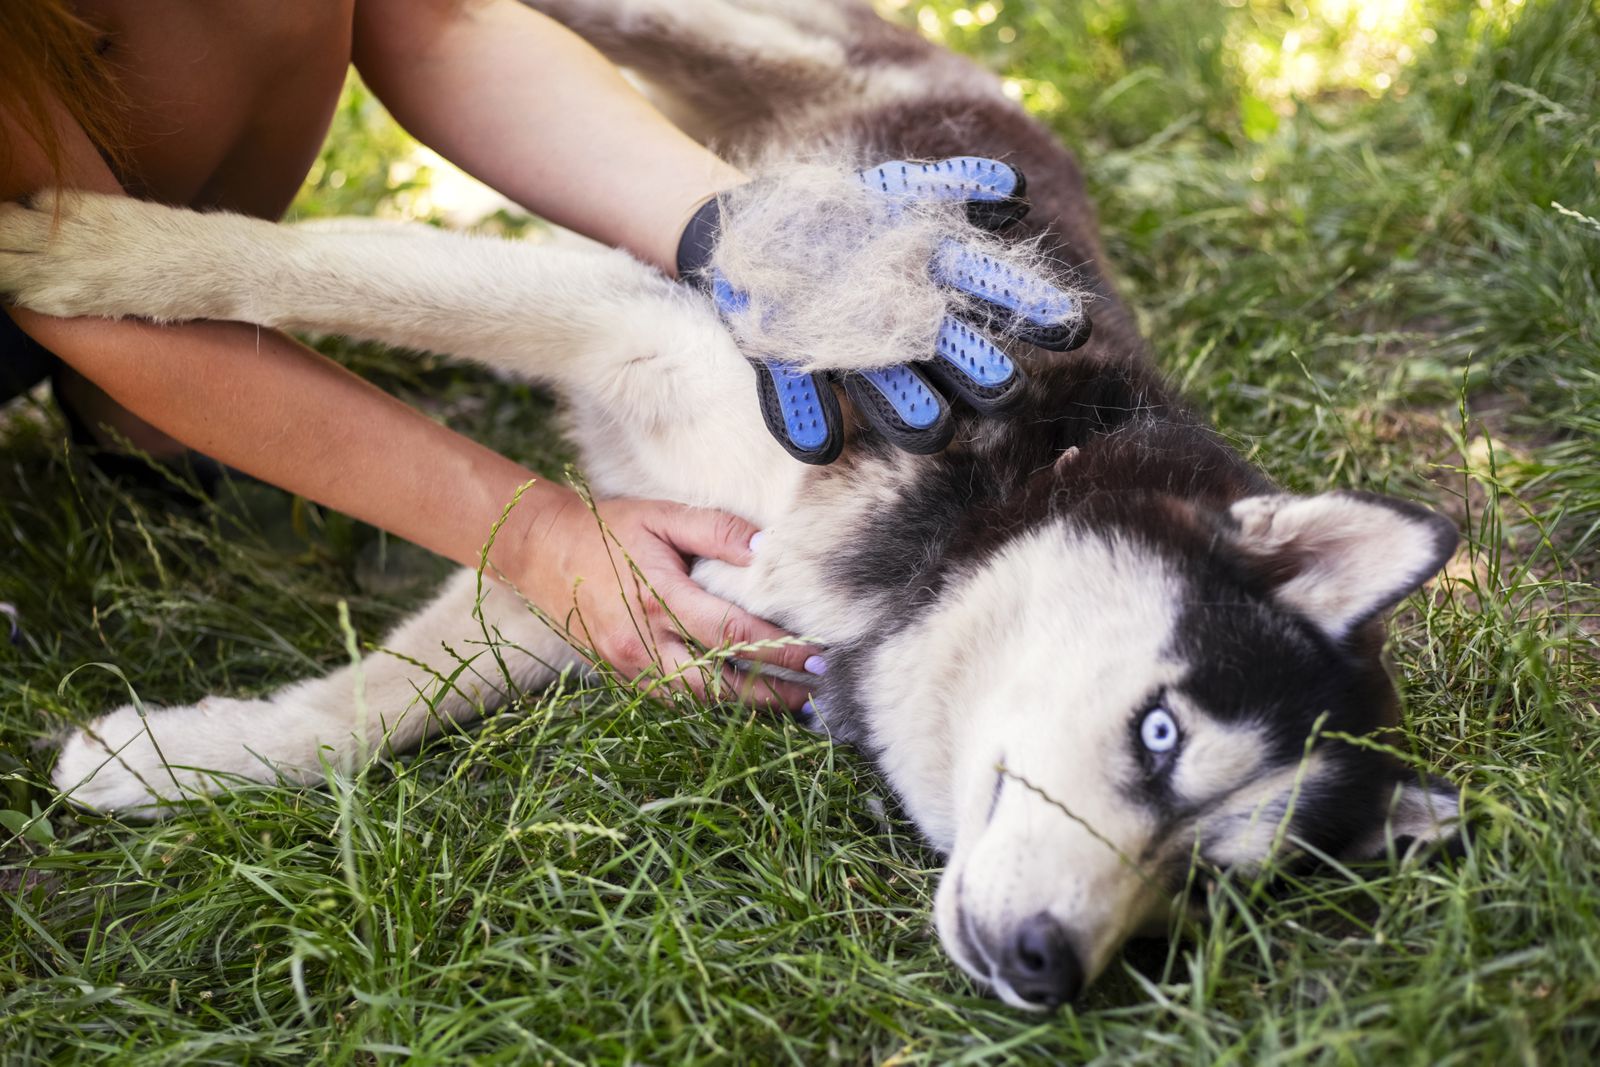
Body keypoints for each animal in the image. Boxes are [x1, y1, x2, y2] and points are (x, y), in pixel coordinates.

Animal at [0, 0, 1465, 1011]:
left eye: (1209, 887)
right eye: (1163, 733)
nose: (1052, 967)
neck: (966, 521)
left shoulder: (631, 563)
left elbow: (375, 703)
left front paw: (168, 758)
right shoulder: (642, 336)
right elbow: (308, 267)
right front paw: (88, 253)